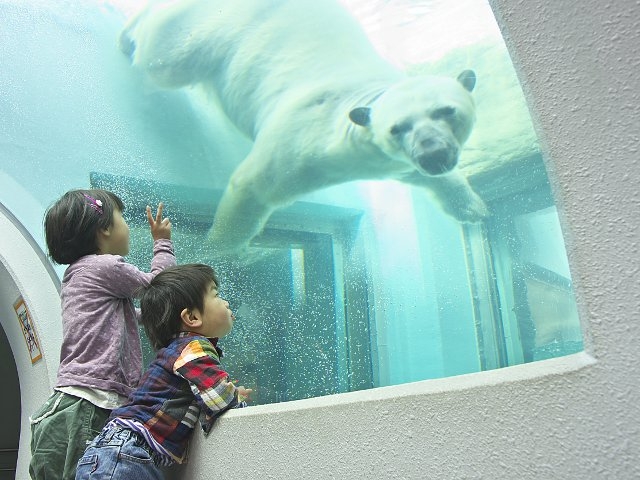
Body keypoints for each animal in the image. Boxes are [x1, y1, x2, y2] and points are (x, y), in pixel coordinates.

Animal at [120, 0, 488, 255]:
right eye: (397, 128)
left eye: (447, 110)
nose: (434, 154)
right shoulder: (306, 138)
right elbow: (255, 185)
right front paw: (217, 247)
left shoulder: (391, 163)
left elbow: (425, 177)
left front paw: (472, 208)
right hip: (213, 27)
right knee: (166, 56)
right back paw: (128, 31)